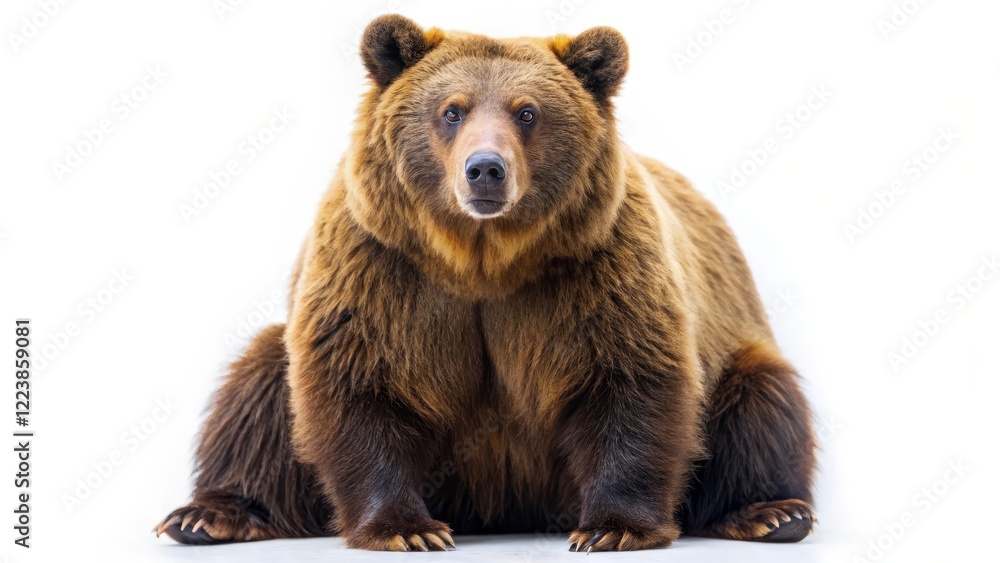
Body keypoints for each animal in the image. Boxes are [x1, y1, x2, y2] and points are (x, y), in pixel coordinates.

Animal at [155, 14, 816, 552]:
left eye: (527, 112)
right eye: (452, 110)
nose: (485, 170)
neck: (483, 259)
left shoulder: (594, 265)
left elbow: (629, 378)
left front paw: (612, 527)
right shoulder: (382, 265)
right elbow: (363, 382)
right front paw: (407, 528)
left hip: (736, 343)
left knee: (761, 399)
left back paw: (771, 512)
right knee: (259, 388)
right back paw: (208, 516)